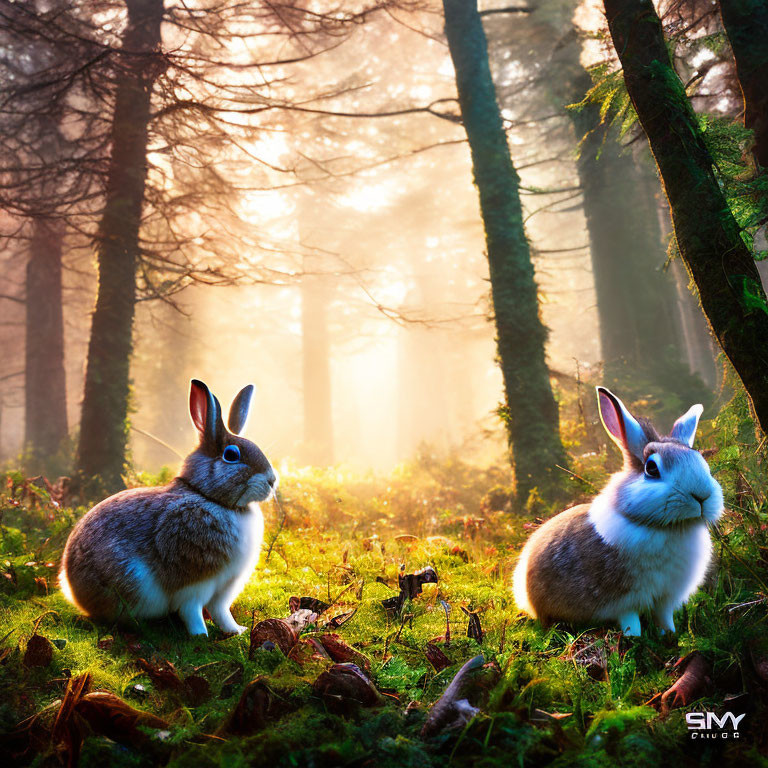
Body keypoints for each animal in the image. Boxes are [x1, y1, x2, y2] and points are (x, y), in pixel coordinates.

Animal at [60, 378, 276, 636]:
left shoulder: (226, 586)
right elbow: (192, 610)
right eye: (231, 455)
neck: (210, 497)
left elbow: (222, 612)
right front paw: (200, 635)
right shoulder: (195, 584)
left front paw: (236, 630)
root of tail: (71, 588)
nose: (272, 480)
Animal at [512, 390, 724, 636]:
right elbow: (631, 622)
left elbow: (664, 618)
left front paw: (669, 636)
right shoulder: (624, 602)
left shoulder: (666, 598)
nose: (702, 495)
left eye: (700, 459)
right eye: (651, 468)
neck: (668, 527)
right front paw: (635, 639)